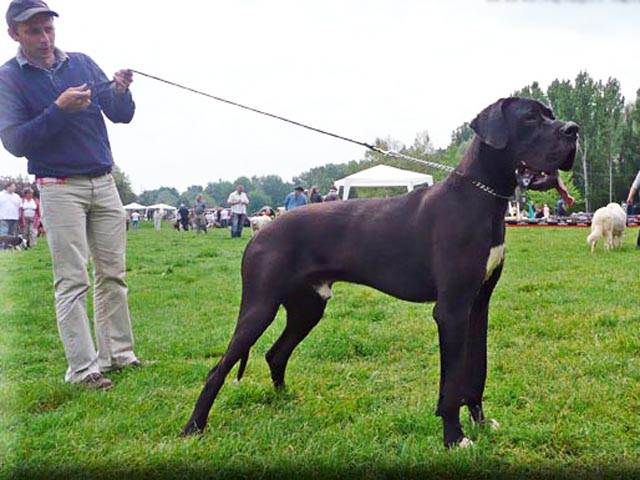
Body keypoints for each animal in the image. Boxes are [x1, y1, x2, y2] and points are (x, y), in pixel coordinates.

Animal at [181, 97, 578, 448]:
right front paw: (454, 437)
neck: (481, 198)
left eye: (550, 114)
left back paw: (284, 402)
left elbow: (475, 372)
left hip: (308, 307)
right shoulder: (451, 310)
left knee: (275, 354)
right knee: (218, 369)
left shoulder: (478, 304)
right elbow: (452, 383)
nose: (573, 130)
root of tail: (262, 228)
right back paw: (193, 428)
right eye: (530, 117)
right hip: (259, 306)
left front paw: (480, 424)